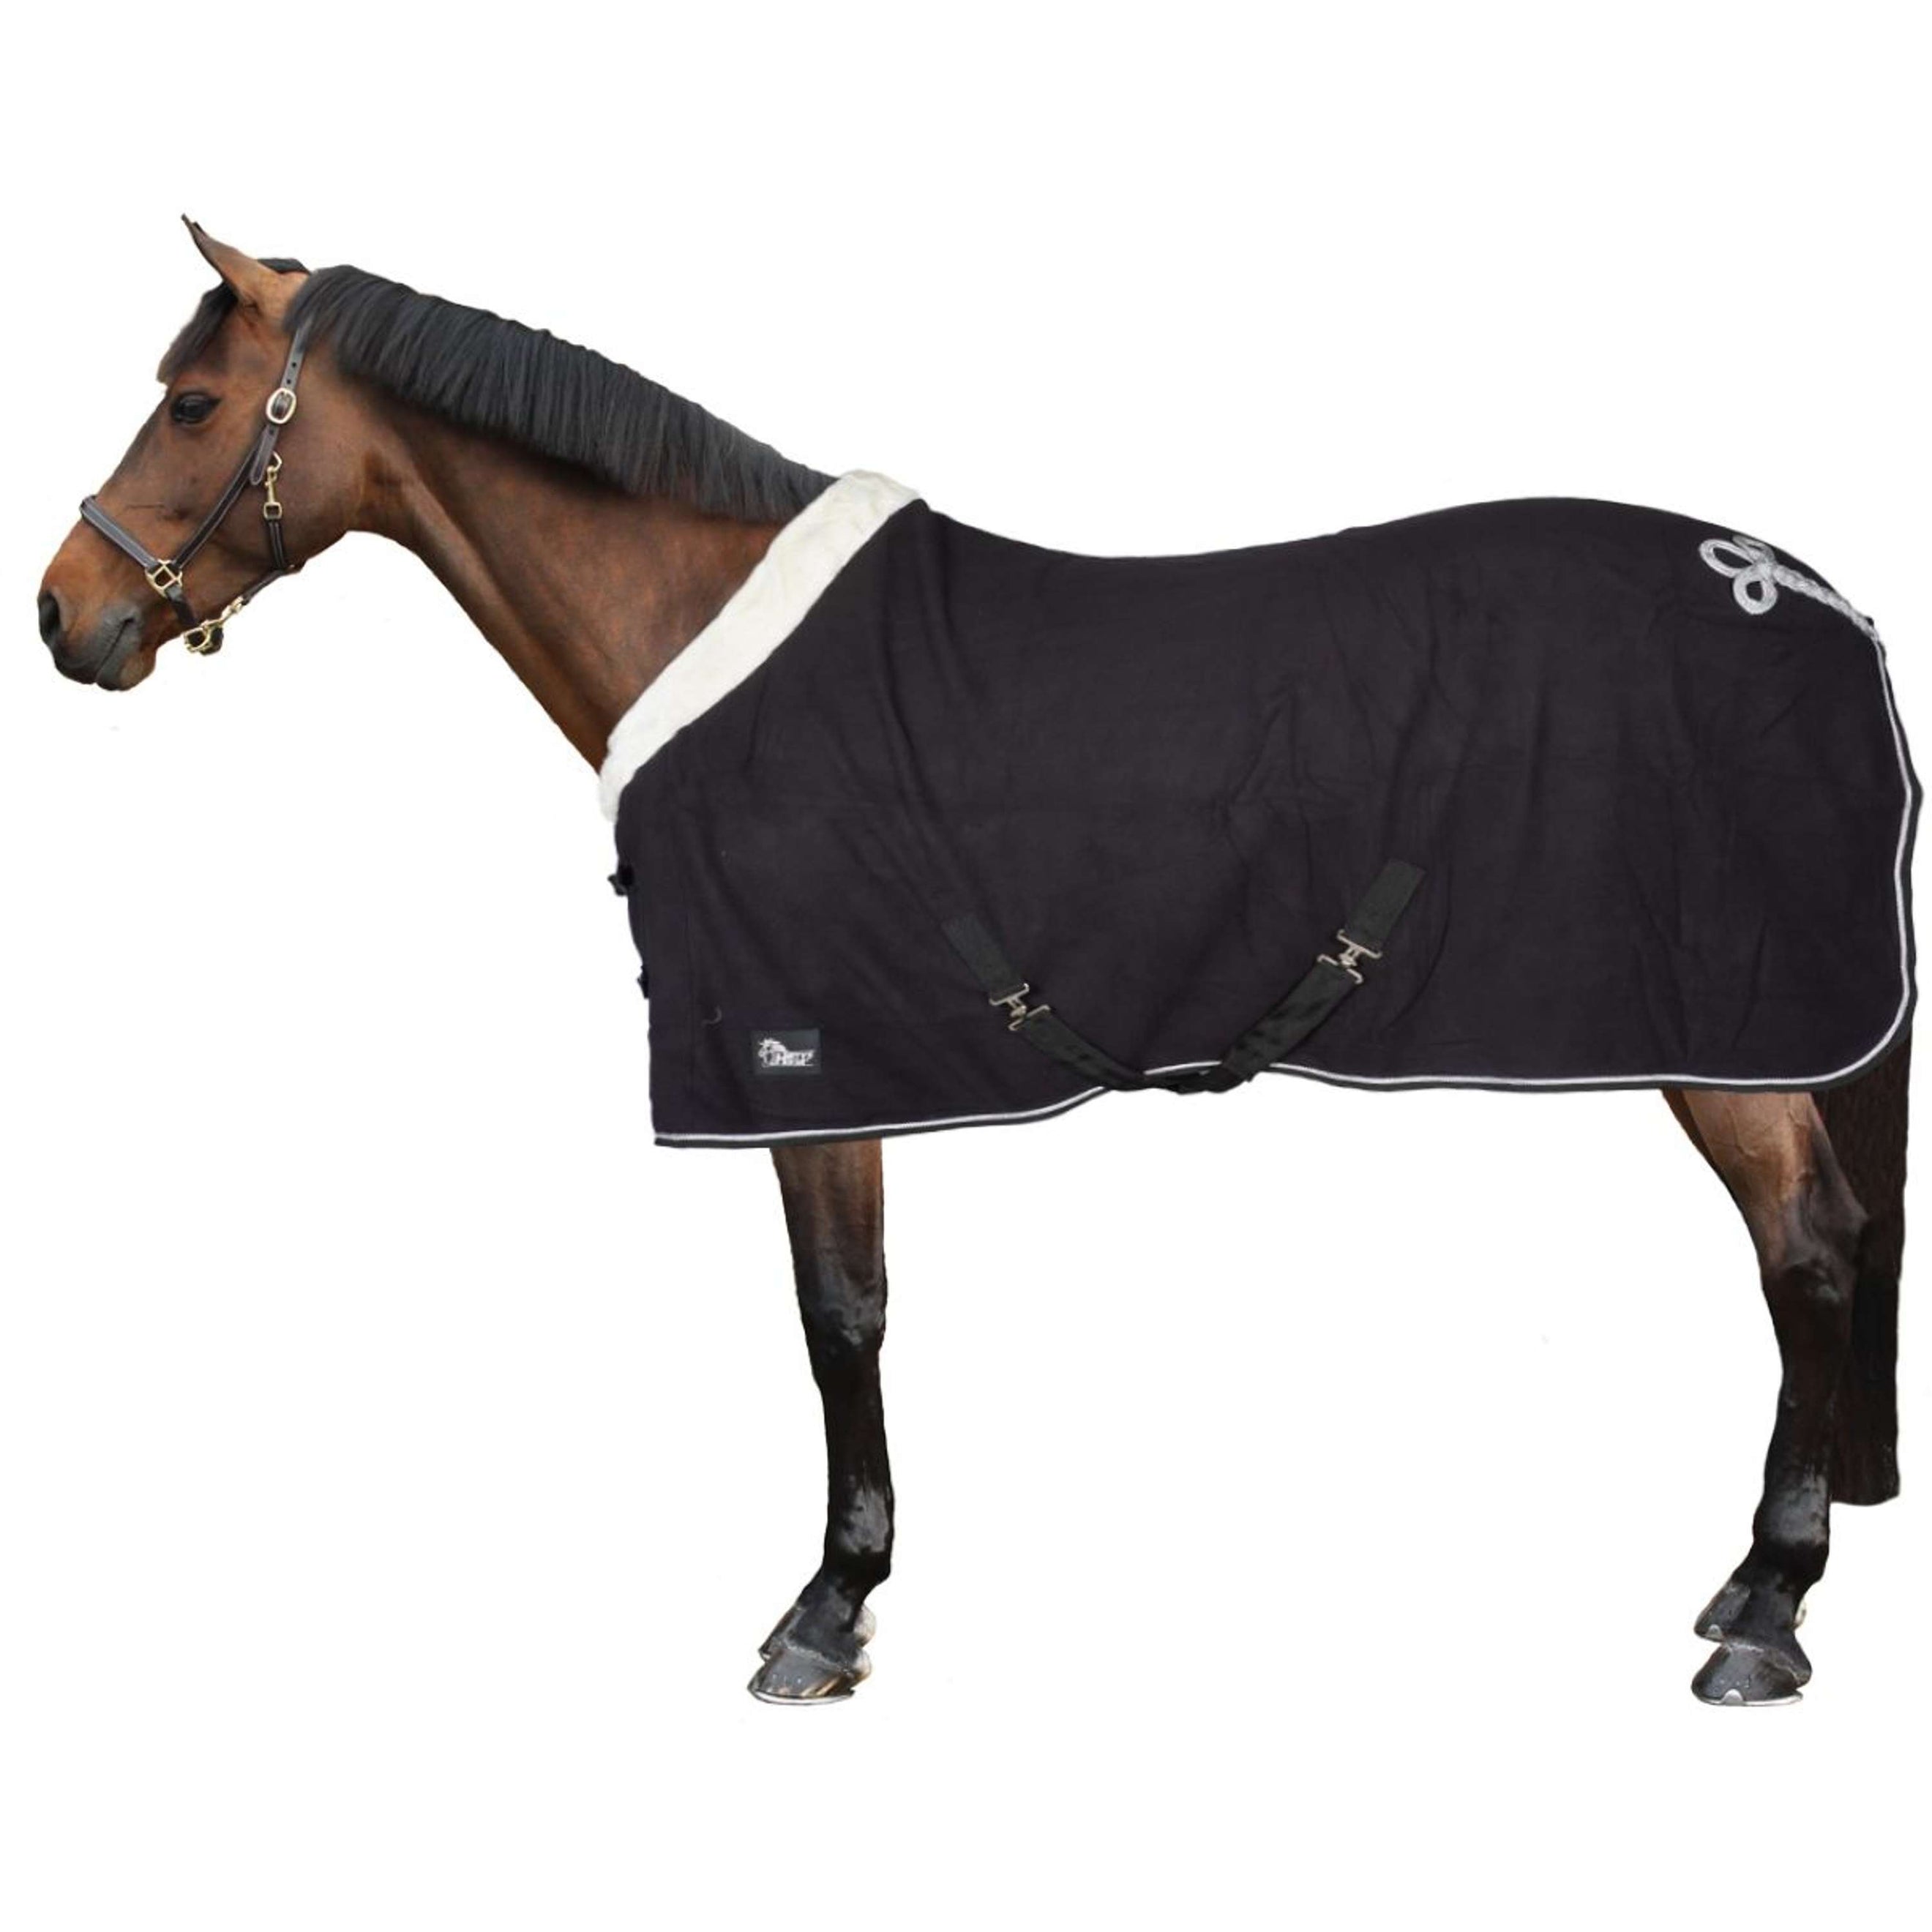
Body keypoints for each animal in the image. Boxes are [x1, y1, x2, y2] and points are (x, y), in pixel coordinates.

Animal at [37, 222, 1913, 1707]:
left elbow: (839, 1317)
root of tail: (1811, 600)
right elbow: (850, 1311)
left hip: (1727, 1029)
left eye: (193, 404)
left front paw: (826, 1610)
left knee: (1810, 1252)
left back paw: (1766, 1611)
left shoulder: (798, 1056)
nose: (64, 616)